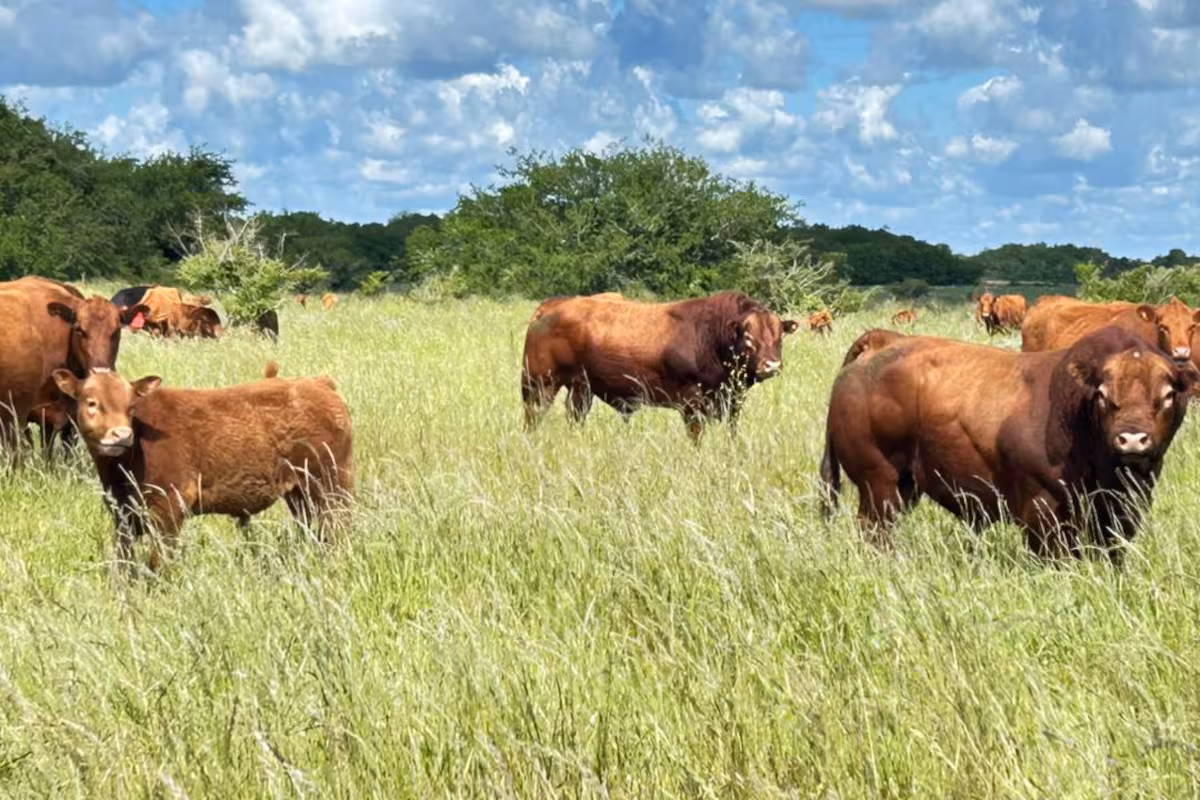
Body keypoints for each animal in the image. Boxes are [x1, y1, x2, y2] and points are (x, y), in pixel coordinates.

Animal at [53, 362, 354, 573]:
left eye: (132, 406)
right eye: (92, 403)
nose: (122, 435)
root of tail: (318, 383)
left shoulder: (169, 507)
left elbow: (159, 563)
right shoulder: (123, 514)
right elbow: (124, 561)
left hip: (332, 484)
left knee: (339, 529)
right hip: (300, 493)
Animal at [521, 290, 798, 441]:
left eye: (779, 337)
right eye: (748, 337)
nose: (771, 365)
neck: (711, 336)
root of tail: (554, 305)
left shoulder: (732, 401)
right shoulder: (692, 402)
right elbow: (696, 434)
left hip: (581, 388)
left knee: (575, 416)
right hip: (539, 385)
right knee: (533, 418)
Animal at [820, 327, 1197, 561]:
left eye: (1167, 395)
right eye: (1103, 395)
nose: (1132, 438)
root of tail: (881, 342)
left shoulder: (1123, 507)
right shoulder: (1043, 511)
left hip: (905, 485)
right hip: (878, 482)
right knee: (875, 529)